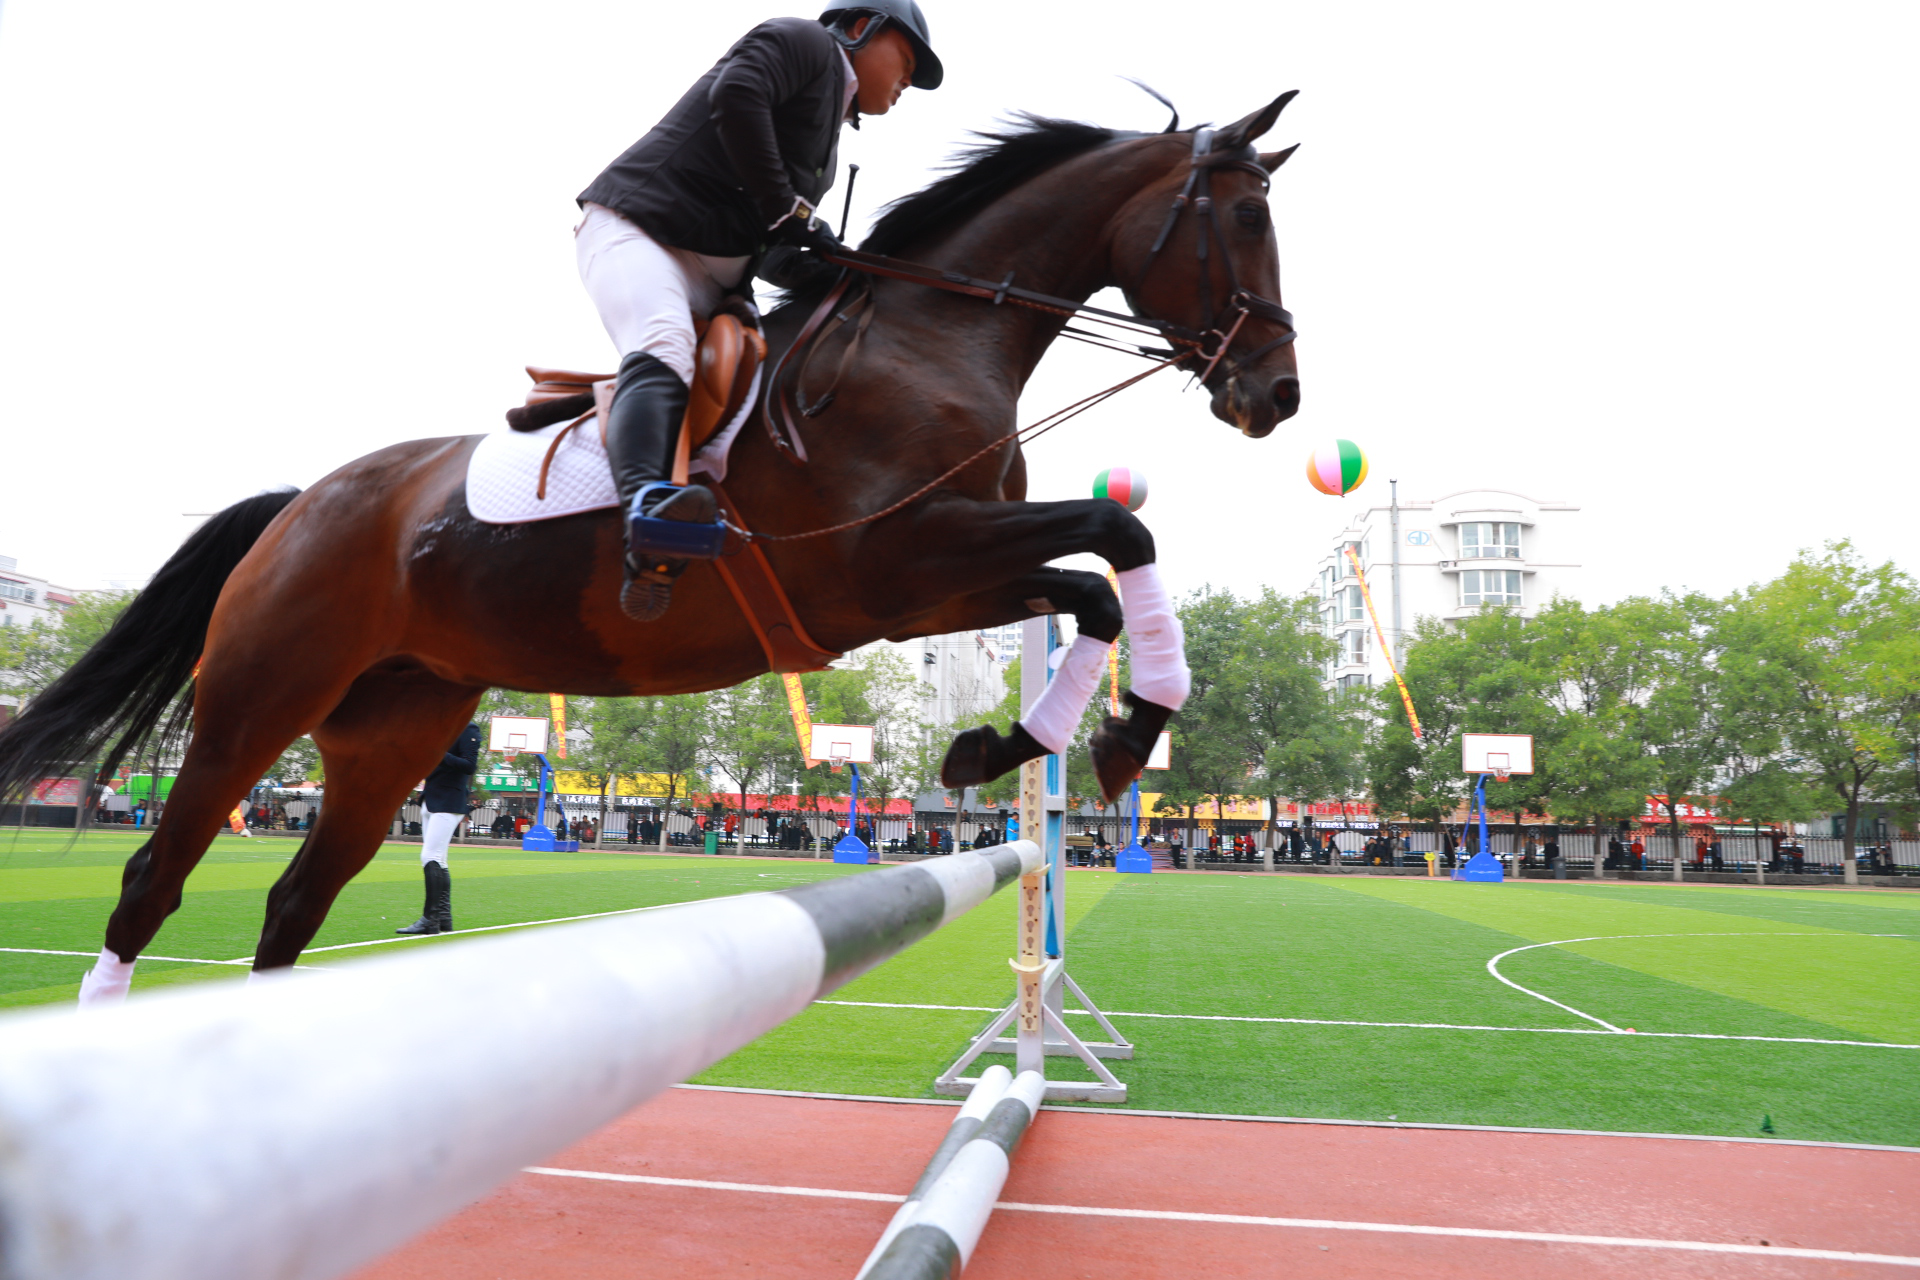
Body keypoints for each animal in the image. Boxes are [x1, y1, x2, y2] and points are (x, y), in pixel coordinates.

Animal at [0, 92, 1305, 990]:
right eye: (1245, 217)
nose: (1277, 393)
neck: (931, 341)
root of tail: (303, 500)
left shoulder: (932, 584)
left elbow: (1098, 578)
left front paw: (1027, 741)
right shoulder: (897, 565)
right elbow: (1115, 529)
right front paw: (1118, 729)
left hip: (386, 735)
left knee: (292, 903)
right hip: (254, 705)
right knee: (153, 878)